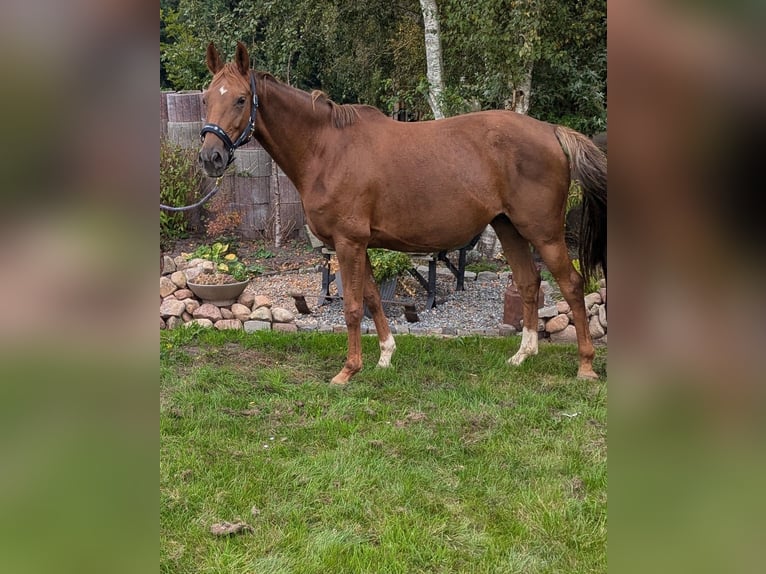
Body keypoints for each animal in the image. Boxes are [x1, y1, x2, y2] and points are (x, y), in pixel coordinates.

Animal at [201, 42, 608, 388]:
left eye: (241, 99)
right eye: (206, 97)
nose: (210, 157)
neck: (327, 149)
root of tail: (551, 131)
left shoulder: (348, 242)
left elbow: (352, 307)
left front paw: (348, 371)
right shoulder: (360, 245)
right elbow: (372, 297)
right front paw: (384, 356)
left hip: (544, 232)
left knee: (572, 285)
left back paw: (586, 366)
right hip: (509, 228)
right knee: (528, 283)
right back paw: (523, 355)